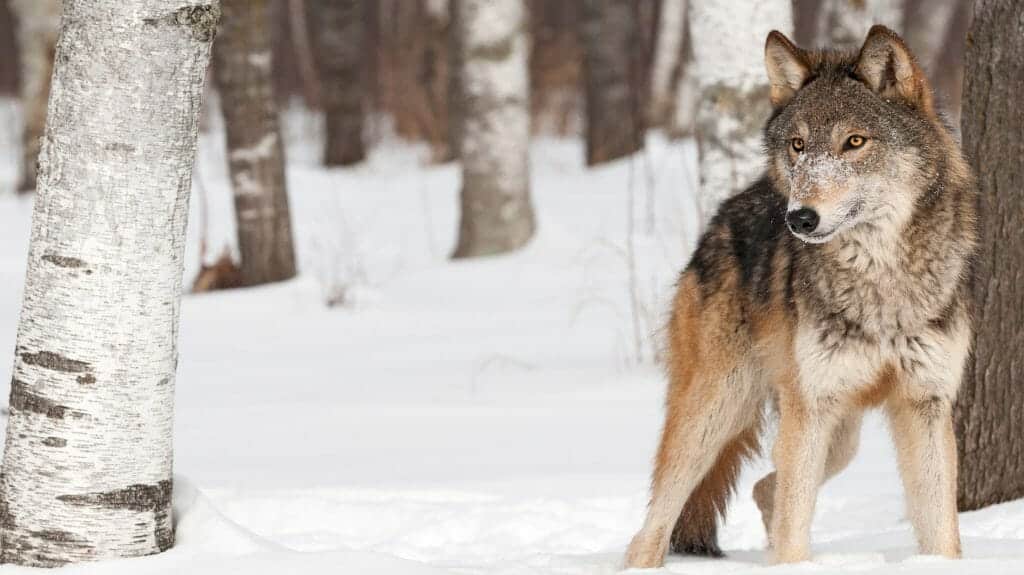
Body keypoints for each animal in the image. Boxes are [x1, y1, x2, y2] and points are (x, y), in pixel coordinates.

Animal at [624, 25, 977, 568]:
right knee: (653, 525)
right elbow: (795, 529)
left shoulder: (924, 404)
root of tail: (726, 210)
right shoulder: (811, 405)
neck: (881, 282)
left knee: (766, 486)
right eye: (798, 145)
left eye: (854, 142)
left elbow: (941, 533)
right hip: (720, 409)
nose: (799, 218)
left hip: (836, 435)